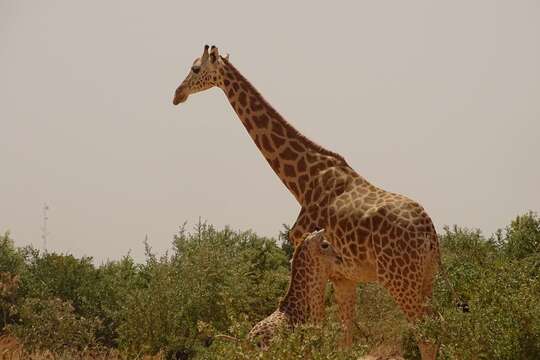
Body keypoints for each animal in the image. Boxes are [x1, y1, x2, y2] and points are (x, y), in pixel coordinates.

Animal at [174, 45, 442, 360]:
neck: (302, 181)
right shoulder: (343, 276)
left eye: (195, 68)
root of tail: (429, 231)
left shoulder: (311, 252)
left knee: (426, 335)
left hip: (400, 280)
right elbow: (345, 337)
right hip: (427, 277)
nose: (177, 94)